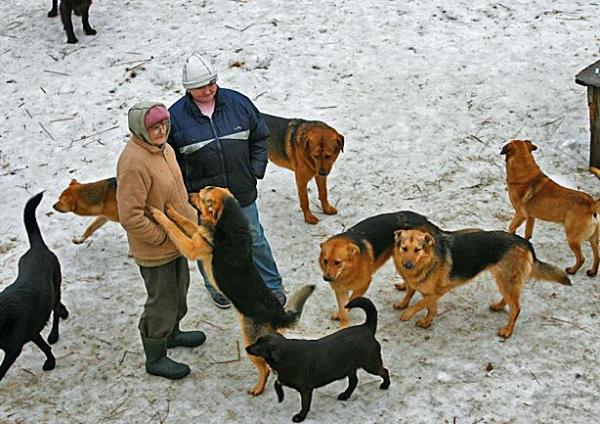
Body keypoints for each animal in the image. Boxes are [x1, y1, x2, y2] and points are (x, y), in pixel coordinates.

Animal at [0, 190, 68, 382]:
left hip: (56, 284)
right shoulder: (29, 334)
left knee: (55, 312)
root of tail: (37, 247)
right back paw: (64, 312)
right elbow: (43, 345)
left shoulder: (14, 348)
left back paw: (54, 333)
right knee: (56, 307)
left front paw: (50, 363)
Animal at [245, 296, 390, 422]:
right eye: (256, 341)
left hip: (371, 364)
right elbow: (278, 384)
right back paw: (345, 395)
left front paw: (300, 417)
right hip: (349, 367)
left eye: (258, 348)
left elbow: (304, 404)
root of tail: (367, 327)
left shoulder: (305, 389)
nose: (246, 348)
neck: (288, 355)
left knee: (384, 371)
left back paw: (385, 385)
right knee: (354, 381)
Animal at [502, 139, 600, 276]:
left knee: (581, 258)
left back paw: (572, 270)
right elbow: (527, 234)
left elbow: (511, 227)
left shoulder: (520, 214)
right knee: (597, 256)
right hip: (593, 239)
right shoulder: (531, 217)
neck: (525, 174)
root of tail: (591, 204)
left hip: (572, 238)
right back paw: (592, 272)